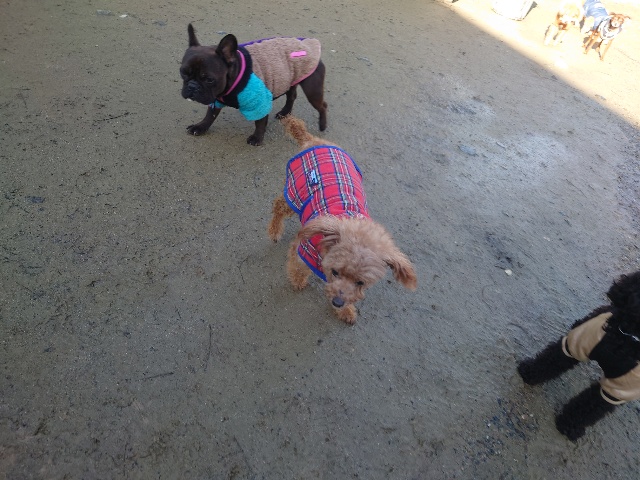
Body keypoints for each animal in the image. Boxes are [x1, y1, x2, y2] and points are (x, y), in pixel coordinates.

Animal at [180, 24, 328, 146]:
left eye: (209, 79)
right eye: (183, 72)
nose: (192, 86)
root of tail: (308, 42)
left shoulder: (260, 103)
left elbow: (260, 121)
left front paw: (257, 138)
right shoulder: (215, 99)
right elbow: (210, 115)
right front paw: (200, 127)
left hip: (312, 89)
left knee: (322, 105)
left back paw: (322, 125)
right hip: (290, 79)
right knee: (291, 96)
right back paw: (284, 113)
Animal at [267, 116, 417, 324]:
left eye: (360, 282)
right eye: (335, 272)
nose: (337, 302)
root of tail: (312, 140)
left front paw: (346, 311)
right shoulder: (304, 250)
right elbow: (298, 268)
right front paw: (297, 281)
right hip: (295, 195)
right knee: (278, 205)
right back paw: (274, 230)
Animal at [517, 271, 640, 441]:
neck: (625, 340)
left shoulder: (618, 389)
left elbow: (589, 407)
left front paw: (569, 426)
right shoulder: (577, 343)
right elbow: (551, 360)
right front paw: (530, 373)